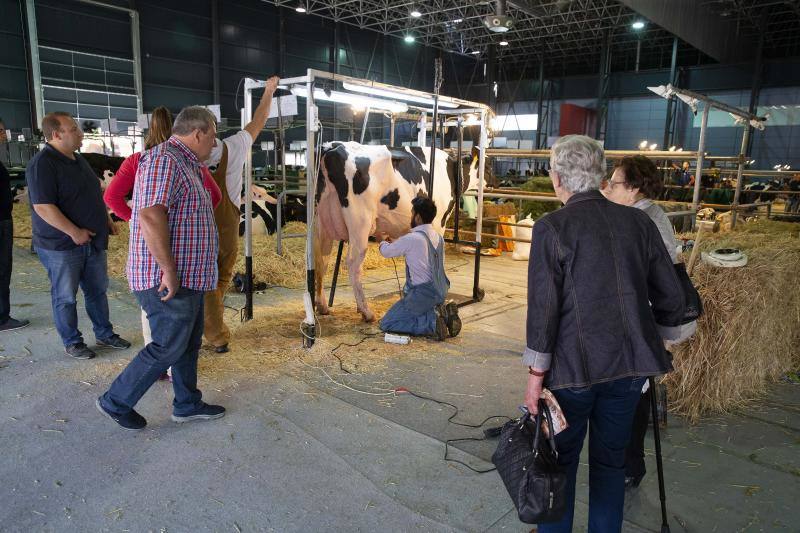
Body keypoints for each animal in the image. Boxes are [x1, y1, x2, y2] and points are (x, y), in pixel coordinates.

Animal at [314, 141, 490, 320]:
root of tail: (332, 147)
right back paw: (366, 311)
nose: (490, 182)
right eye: (487, 166)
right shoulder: (439, 223)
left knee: (321, 259)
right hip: (360, 222)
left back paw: (322, 306)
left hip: (322, 221)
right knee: (353, 262)